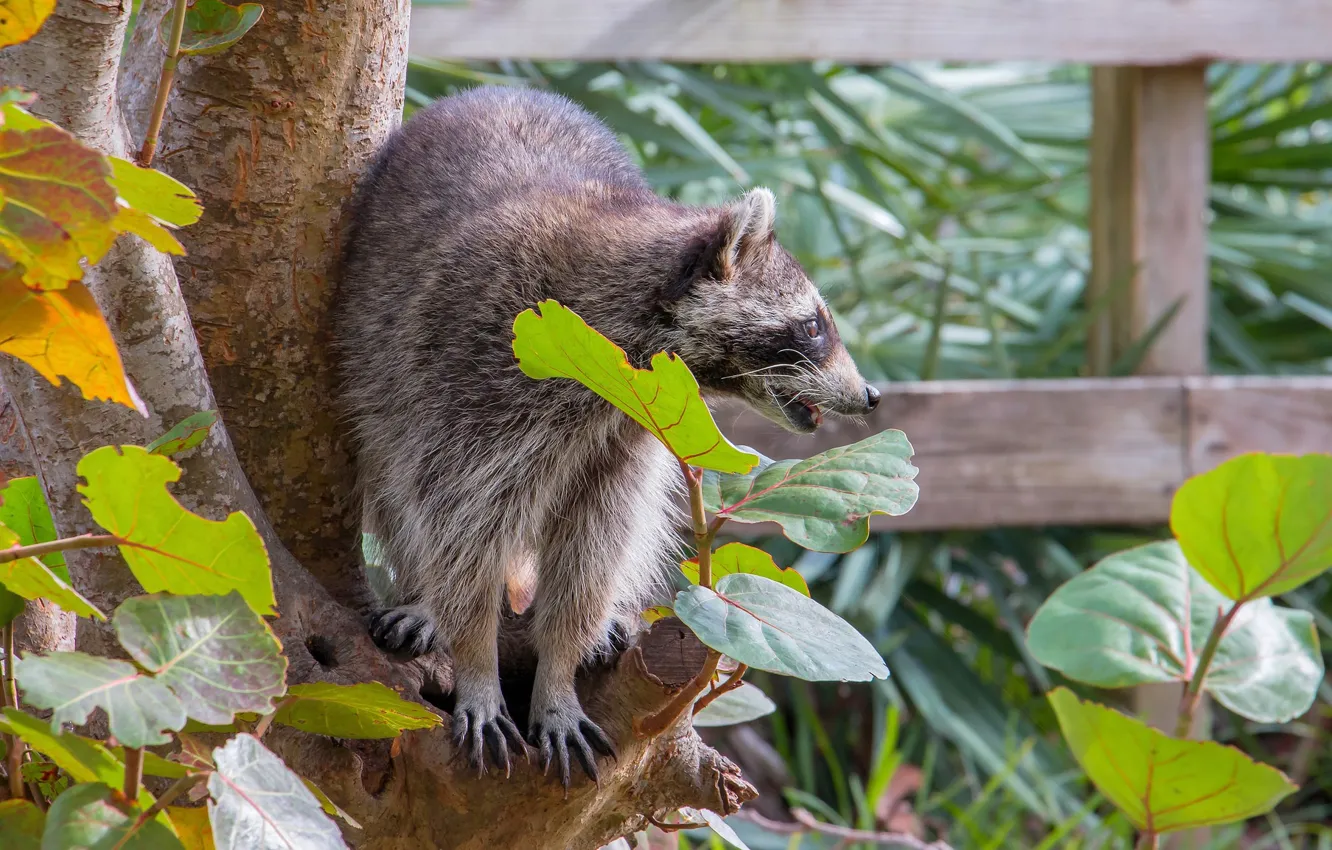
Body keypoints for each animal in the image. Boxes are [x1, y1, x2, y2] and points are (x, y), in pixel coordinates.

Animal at [333, 86, 880, 786]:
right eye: (814, 326)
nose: (870, 396)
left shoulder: (628, 431)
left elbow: (597, 540)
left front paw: (559, 671)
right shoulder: (480, 373)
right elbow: (461, 527)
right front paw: (476, 662)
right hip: (381, 360)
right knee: (396, 472)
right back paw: (423, 594)